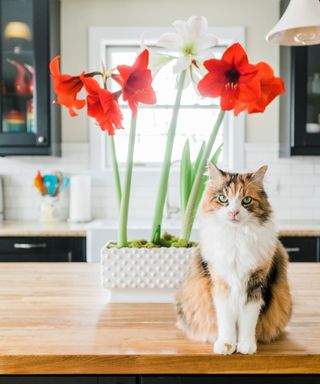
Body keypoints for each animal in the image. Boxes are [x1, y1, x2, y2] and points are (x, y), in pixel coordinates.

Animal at [176, 164, 292, 356]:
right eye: (223, 198)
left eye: (246, 200)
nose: (234, 212)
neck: (237, 236)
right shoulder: (221, 283)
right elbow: (226, 320)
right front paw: (227, 345)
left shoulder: (255, 285)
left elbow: (248, 321)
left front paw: (246, 345)